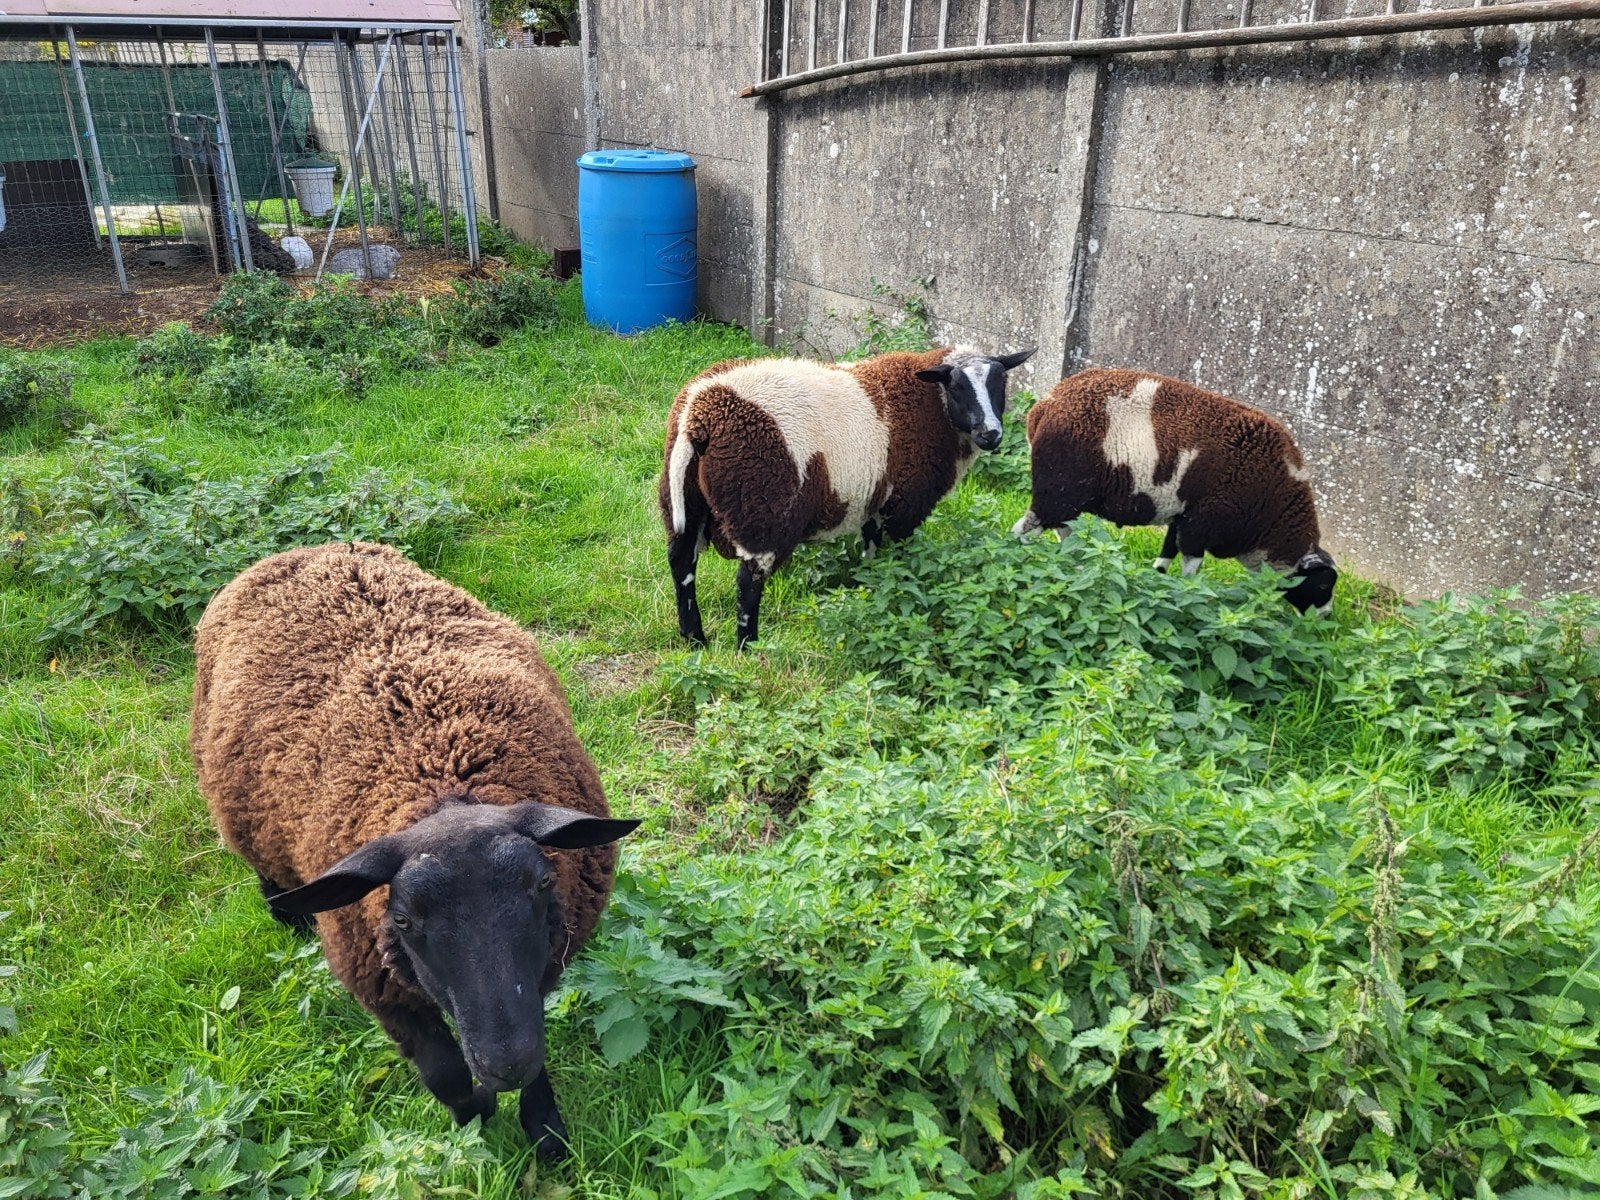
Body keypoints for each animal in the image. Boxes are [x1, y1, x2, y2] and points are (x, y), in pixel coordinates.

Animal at [189, 541, 640, 1159]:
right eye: (402, 919)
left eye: (544, 884)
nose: (504, 1064)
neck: (441, 778)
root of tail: (309, 548)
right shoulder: (386, 995)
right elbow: (445, 1075)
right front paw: (476, 1119)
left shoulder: (544, 958)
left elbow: (534, 1052)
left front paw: (545, 1135)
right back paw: (288, 915)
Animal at [659, 344, 1036, 648]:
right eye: (956, 388)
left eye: (1000, 385)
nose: (991, 434)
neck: (933, 405)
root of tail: (701, 414)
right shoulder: (906, 505)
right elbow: (900, 561)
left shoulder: (875, 501)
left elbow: (872, 555)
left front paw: (869, 593)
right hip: (761, 506)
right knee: (748, 583)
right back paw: (748, 647)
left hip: (683, 499)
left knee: (682, 563)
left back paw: (694, 639)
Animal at [1011, 368, 1338, 614]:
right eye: (1323, 584)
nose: (1324, 618)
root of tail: (1044, 407)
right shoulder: (1202, 523)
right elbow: (1191, 566)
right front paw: (1189, 595)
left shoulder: (1183, 516)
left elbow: (1166, 553)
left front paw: (1157, 583)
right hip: (1059, 488)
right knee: (1025, 530)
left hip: (1067, 495)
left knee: (1060, 529)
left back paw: (1073, 565)